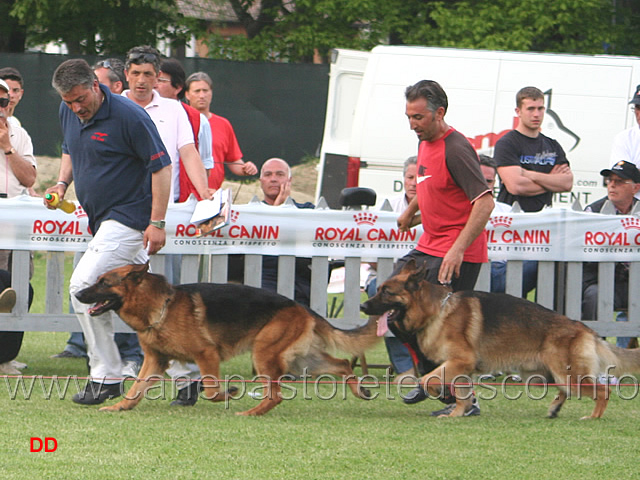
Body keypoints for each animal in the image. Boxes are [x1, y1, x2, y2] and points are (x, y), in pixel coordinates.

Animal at [75, 262, 378, 416]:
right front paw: (120, 406)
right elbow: (135, 389)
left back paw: (251, 413)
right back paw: (359, 391)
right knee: (342, 364)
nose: (77, 294)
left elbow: (210, 390)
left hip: (265, 354)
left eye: (103, 282)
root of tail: (300, 307)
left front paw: (227, 393)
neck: (161, 305)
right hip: (302, 361)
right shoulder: (154, 361)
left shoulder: (206, 355)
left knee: (277, 395)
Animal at [360, 258, 640, 420]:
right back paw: (554, 409)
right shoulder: (461, 367)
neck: (437, 310)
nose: (363, 306)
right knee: (565, 391)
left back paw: (593, 417)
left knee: (603, 391)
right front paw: (458, 413)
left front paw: (436, 392)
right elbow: (462, 393)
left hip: (568, 374)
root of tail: (583, 328)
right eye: (380, 289)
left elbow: (428, 378)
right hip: (550, 374)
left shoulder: (460, 361)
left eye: (387, 292)